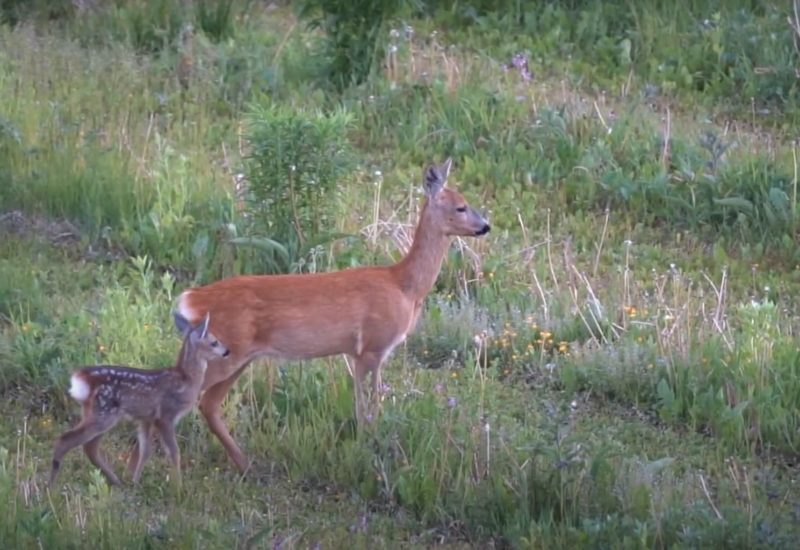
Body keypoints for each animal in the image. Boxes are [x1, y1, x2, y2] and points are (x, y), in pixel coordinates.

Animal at [49, 312, 228, 490]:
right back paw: (51, 487)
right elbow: (174, 452)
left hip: (97, 413)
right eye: (214, 342)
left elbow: (146, 451)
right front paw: (178, 488)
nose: (227, 351)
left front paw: (135, 482)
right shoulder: (166, 415)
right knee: (66, 440)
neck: (187, 380)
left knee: (90, 447)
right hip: (104, 413)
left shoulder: (146, 418)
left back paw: (116, 481)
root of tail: (83, 379)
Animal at [177, 158, 488, 474]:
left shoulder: (362, 353)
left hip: (236, 356)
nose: (485, 227)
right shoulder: (372, 346)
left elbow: (366, 406)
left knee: (207, 403)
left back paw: (245, 463)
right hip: (226, 353)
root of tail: (192, 298)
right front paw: (368, 450)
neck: (404, 286)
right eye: (461, 207)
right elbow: (368, 407)